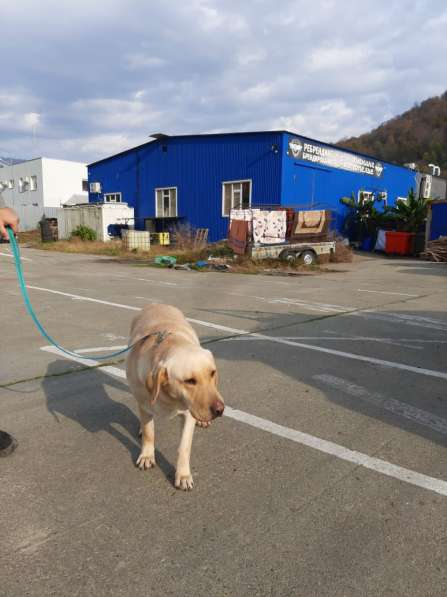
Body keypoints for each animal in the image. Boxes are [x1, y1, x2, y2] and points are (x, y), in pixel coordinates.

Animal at [125, 302, 224, 488]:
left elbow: (184, 447)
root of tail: (157, 303)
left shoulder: (188, 414)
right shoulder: (144, 405)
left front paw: (183, 474)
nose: (220, 410)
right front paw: (147, 455)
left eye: (212, 373)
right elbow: (149, 432)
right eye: (190, 381)